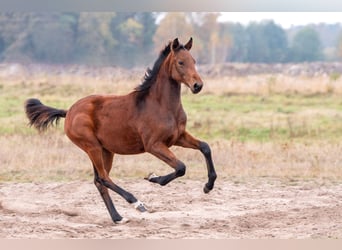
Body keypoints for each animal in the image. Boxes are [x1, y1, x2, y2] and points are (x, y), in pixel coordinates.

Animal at [24, 38, 216, 224]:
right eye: (181, 62)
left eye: (194, 61)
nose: (198, 85)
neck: (161, 105)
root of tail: (69, 111)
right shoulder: (153, 145)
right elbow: (181, 167)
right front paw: (153, 177)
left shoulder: (178, 137)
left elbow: (205, 147)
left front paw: (208, 186)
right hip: (91, 146)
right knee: (103, 178)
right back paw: (137, 203)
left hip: (106, 151)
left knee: (99, 181)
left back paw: (118, 217)